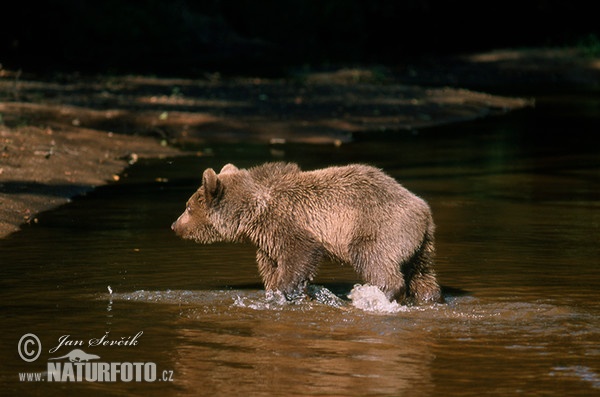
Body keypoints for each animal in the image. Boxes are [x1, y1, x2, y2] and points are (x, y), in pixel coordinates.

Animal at [171, 161, 442, 304]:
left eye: (188, 206)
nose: (174, 225)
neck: (251, 212)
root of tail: (423, 209)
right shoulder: (265, 240)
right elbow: (270, 266)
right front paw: (274, 290)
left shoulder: (285, 222)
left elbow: (299, 253)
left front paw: (287, 290)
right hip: (420, 244)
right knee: (422, 274)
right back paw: (429, 296)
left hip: (379, 224)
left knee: (373, 257)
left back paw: (376, 293)